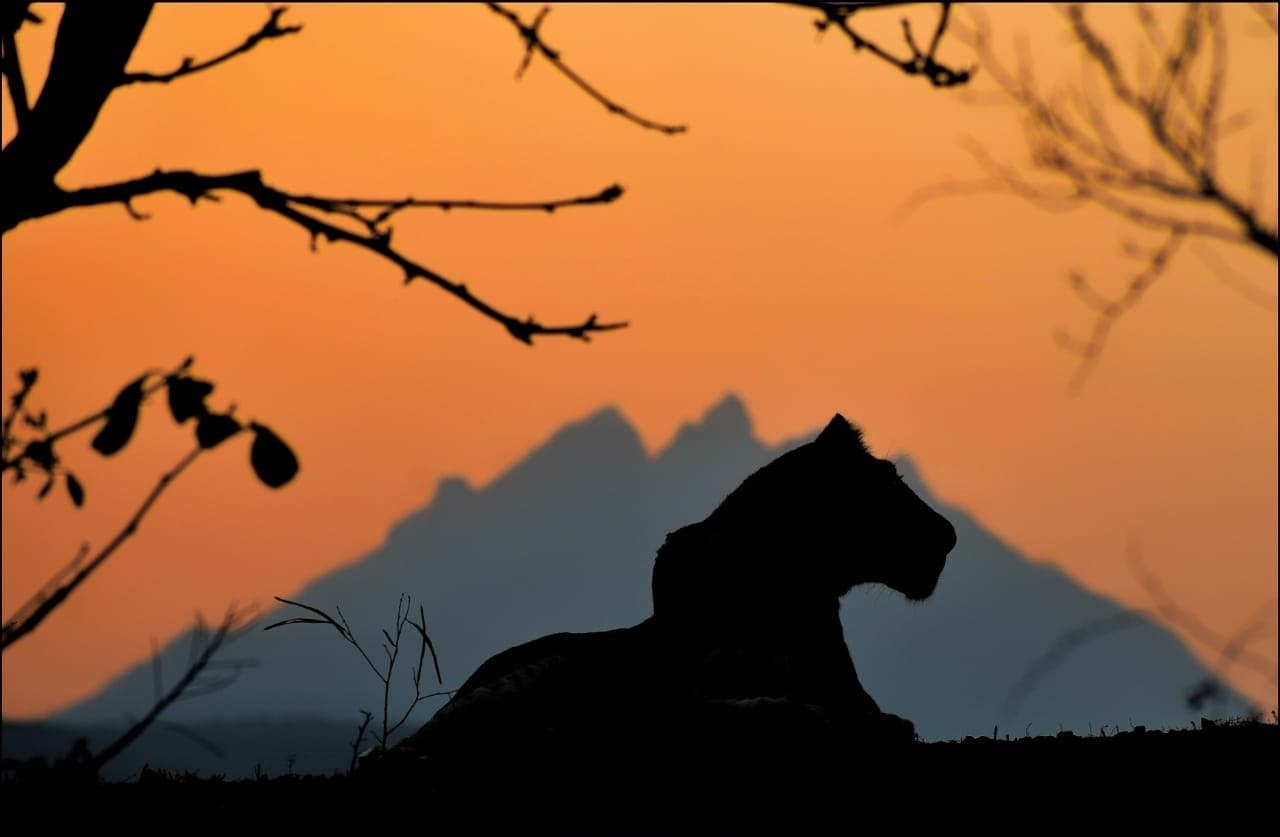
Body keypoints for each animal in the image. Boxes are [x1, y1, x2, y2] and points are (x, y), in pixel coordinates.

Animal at [380, 413, 957, 770]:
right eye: (887, 483)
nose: (950, 535)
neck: (788, 588)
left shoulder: (846, 687)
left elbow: (876, 715)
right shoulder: (680, 689)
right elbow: (738, 706)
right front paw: (793, 712)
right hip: (536, 668)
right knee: (414, 744)